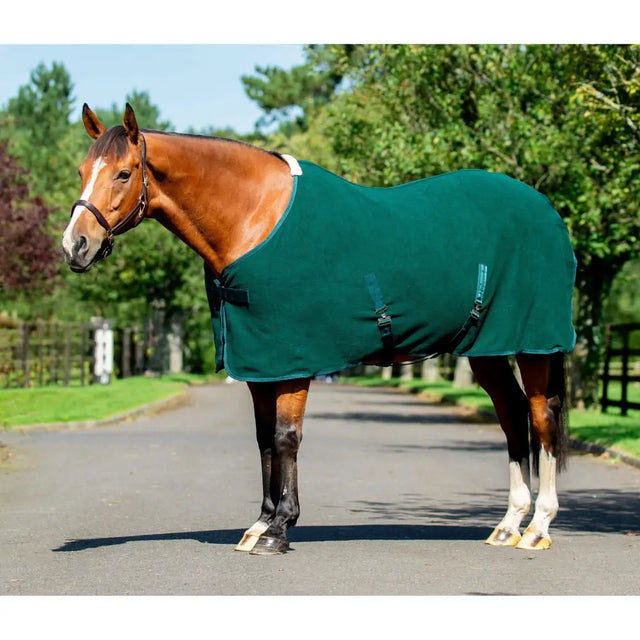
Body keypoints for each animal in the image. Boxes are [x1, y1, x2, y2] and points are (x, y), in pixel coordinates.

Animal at [62, 104, 576, 555]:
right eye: (82, 170)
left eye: (123, 173)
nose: (74, 246)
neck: (254, 215)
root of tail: (546, 210)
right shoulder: (260, 363)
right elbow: (264, 439)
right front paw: (260, 523)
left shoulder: (292, 360)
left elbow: (286, 437)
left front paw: (278, 531)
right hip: (487, 347)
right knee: (512, 414)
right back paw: (508, 524)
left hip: (533, 344)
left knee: (540, 418)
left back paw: (537, 527)